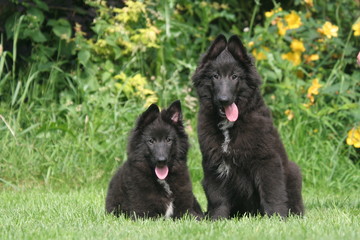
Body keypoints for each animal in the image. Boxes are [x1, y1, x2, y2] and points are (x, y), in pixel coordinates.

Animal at [191, 34, 304, 220]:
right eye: (215, 76)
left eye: (234, 76)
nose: (224, 100)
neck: (229, 126)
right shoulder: (213, 164)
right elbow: (218, 198)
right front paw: (217, 220)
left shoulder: (267, 160)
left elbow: (272, 193)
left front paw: (277, 218)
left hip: (293, 171)